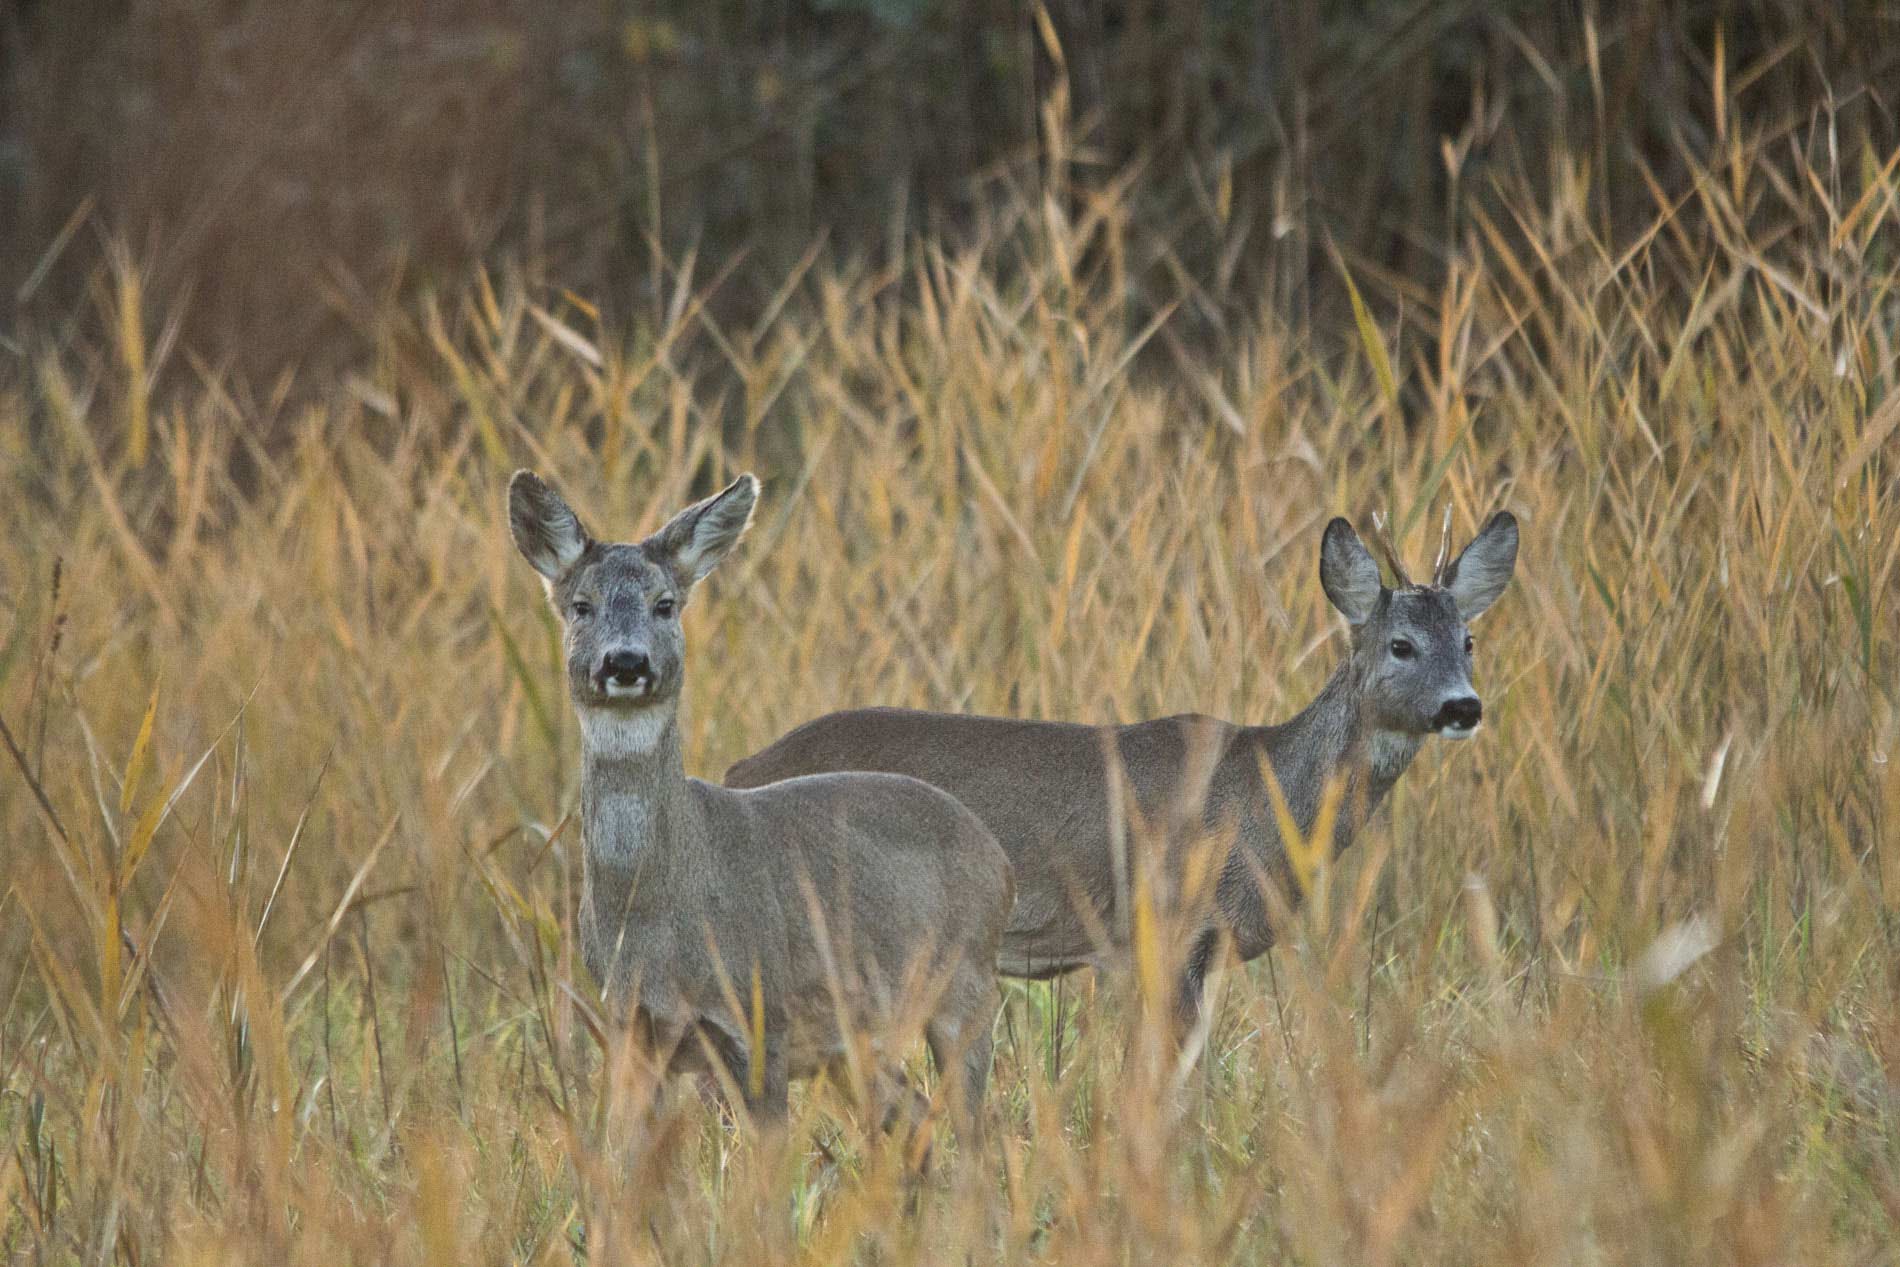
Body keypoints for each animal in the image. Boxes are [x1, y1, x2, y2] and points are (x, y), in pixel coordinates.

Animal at [505, 469, 1010, 1139]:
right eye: (580, 605)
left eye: (666, 603)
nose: (626, 662)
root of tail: (999, 858)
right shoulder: (634, 1034)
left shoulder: (761, 1024)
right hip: (857, 1041)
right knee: (916, 1120)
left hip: (965, 987)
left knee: (976, 1130)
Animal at [718, 512, 1520, 1033]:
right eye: (1401, 644)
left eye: (1469, 639)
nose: (1463, 706)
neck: (1263, 799)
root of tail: (737, 769)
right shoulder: (1168, 923)